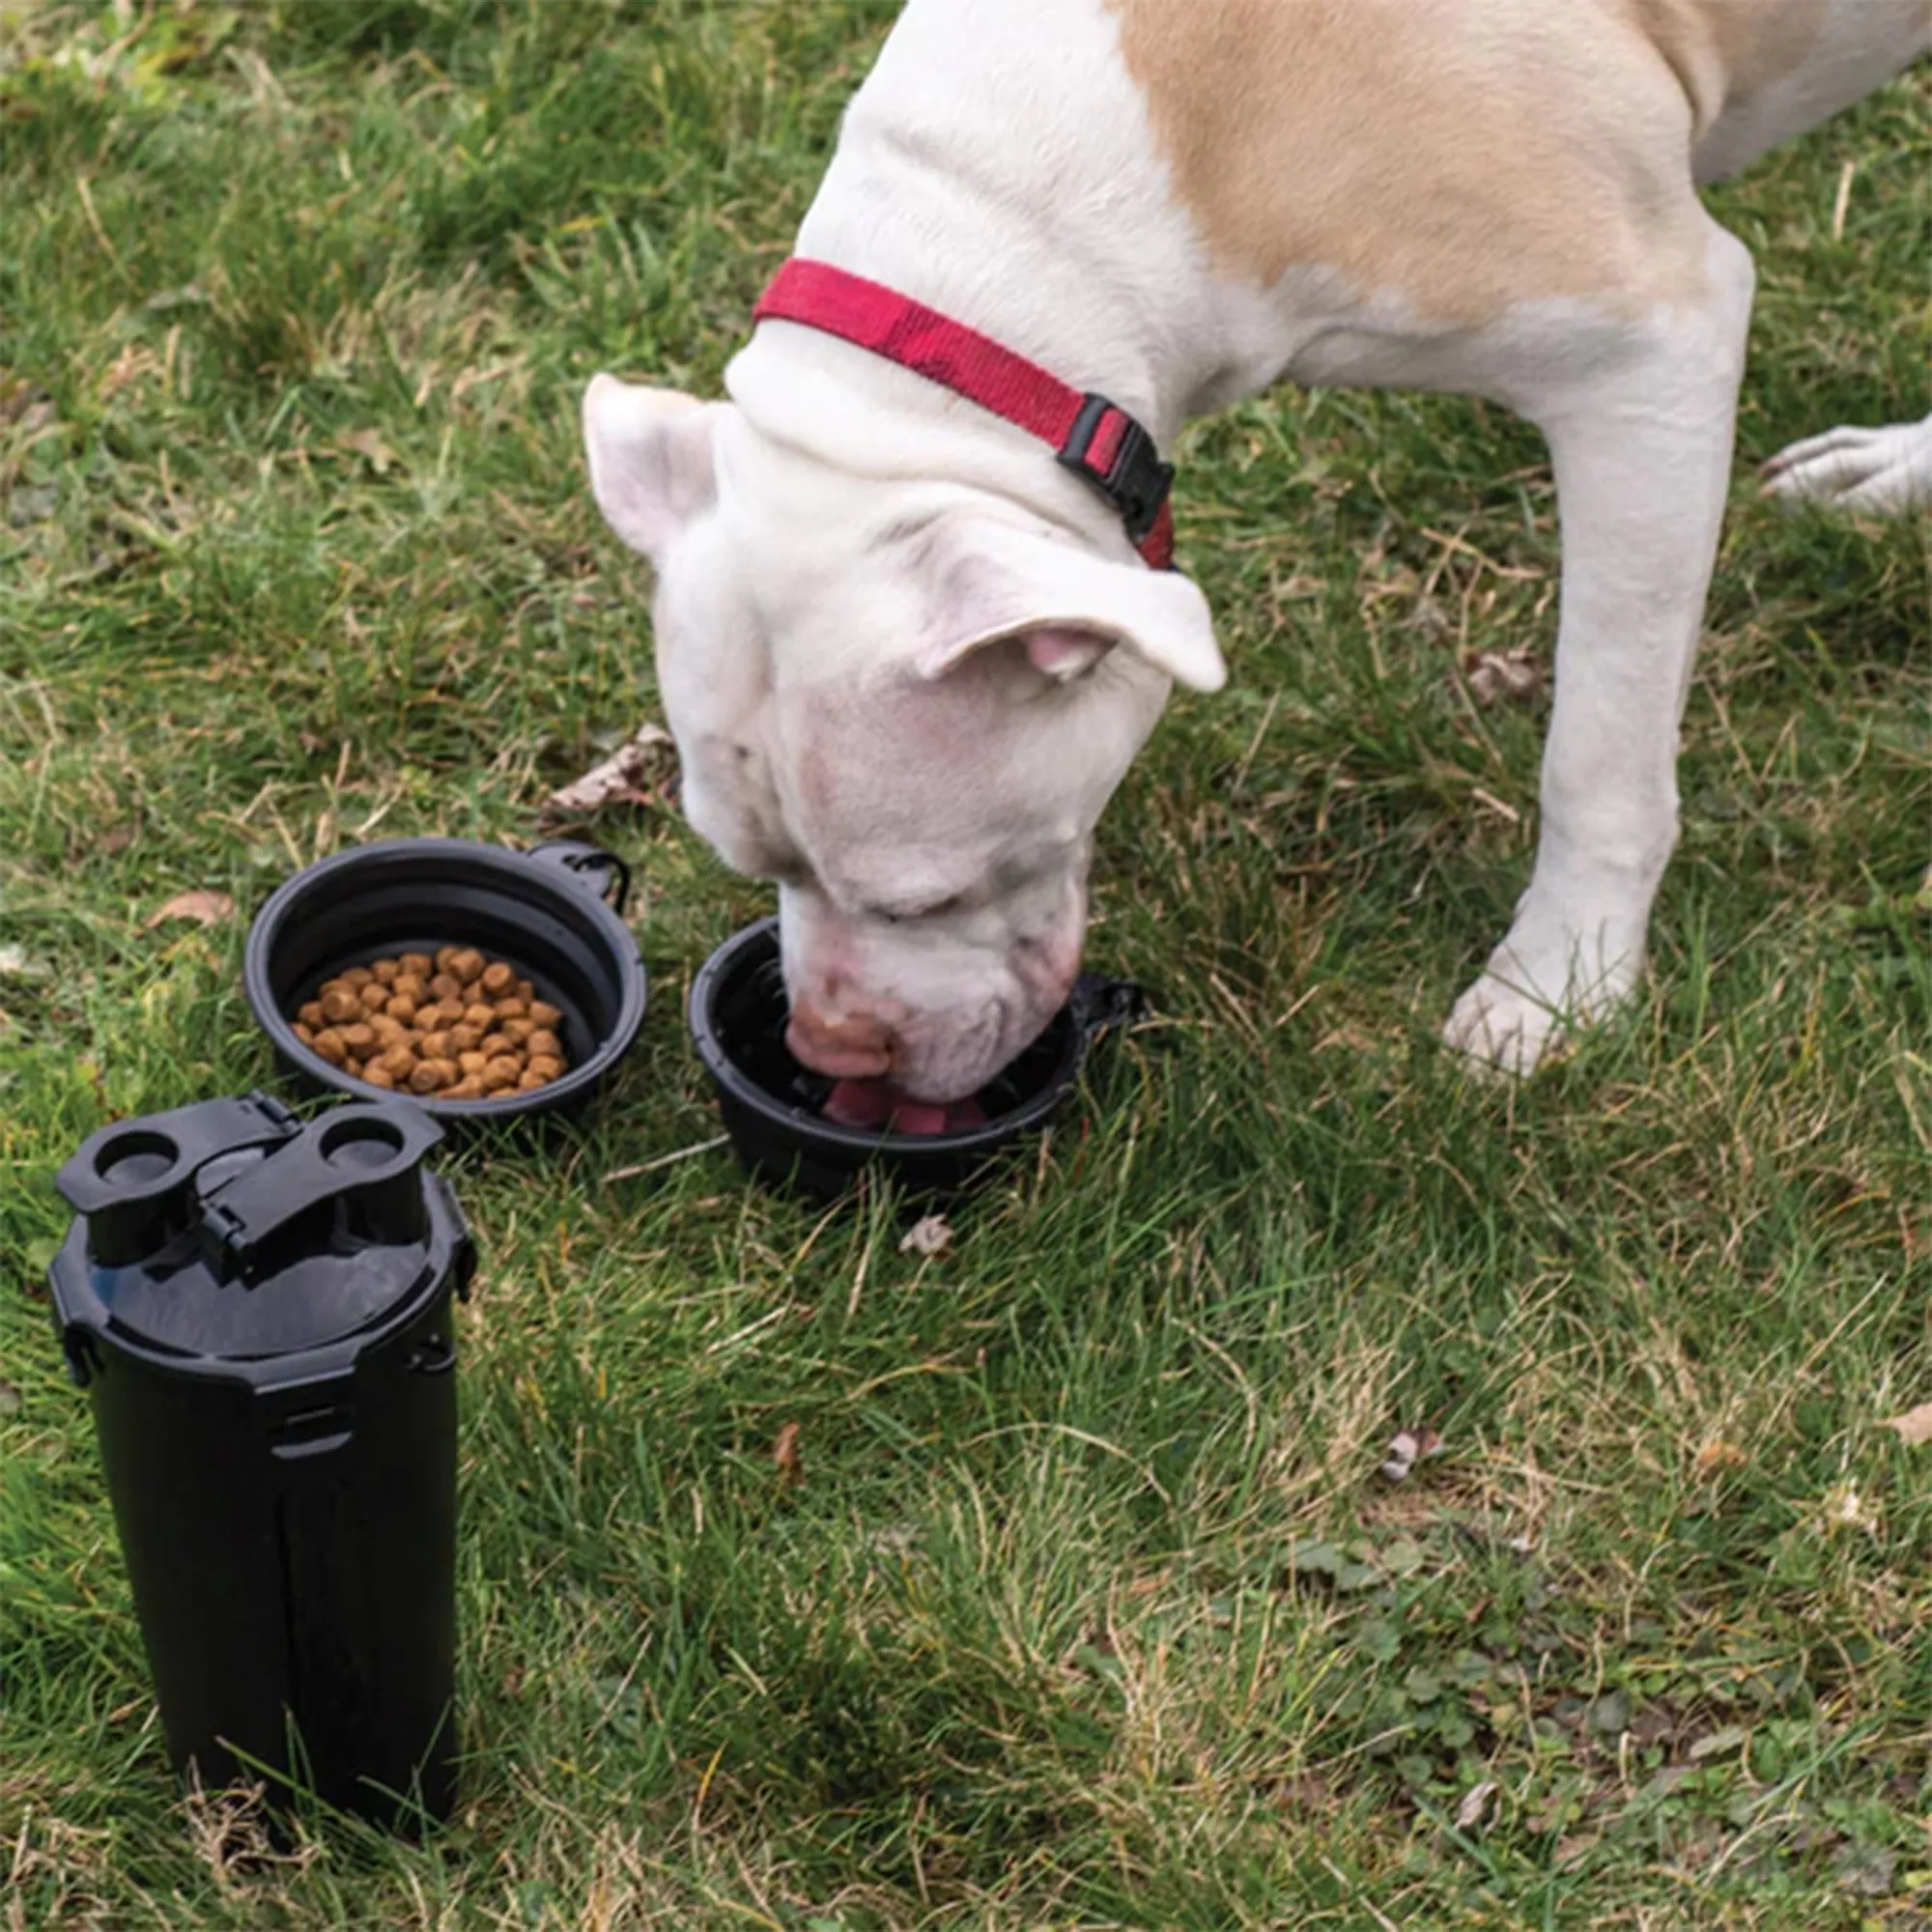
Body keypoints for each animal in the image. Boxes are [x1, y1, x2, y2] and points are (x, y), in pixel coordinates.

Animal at [580, 0, 1924, 1105]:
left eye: (925, 897)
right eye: (749, 861)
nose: (829, 1052)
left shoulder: (1648, 350)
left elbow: (1596, 750)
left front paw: (1556, 985)